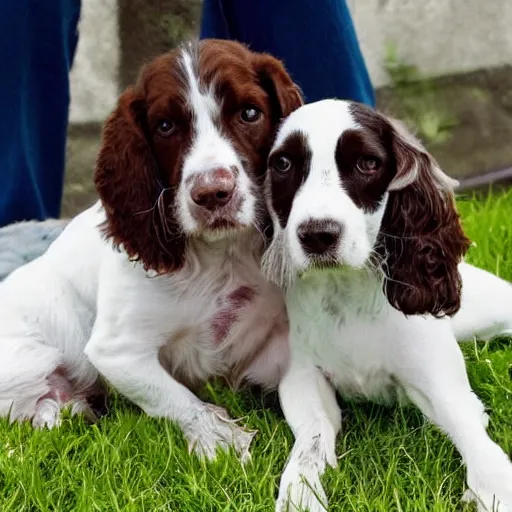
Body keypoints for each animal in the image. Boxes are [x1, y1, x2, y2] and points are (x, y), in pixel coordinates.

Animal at [0, 38, 300, 458]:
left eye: (250, 113)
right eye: (165, 126)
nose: (212, 193)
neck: (220, 255)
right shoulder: (116, 350)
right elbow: (171, 396)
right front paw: (219, 437)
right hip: (29, 359)